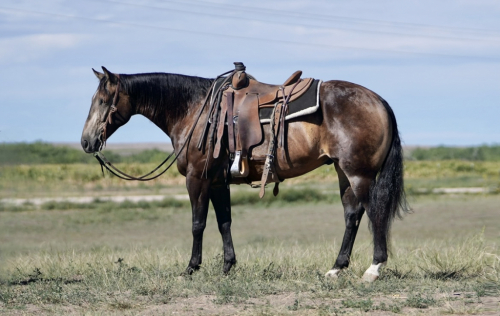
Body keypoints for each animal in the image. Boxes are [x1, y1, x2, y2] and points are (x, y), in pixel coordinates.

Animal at [81, 65, 410, 282]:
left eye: (103, 101)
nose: (86, 142)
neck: (196, 111)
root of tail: (379, 101)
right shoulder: (217, 181)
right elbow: (224, 222)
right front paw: (228, 265)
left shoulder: (197, 179)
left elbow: (198, 224)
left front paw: (191, 267)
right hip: (344, 172)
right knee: (352, 216)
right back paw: (336, 268)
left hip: (359, 174)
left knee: (374, 213)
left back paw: (373, 269)